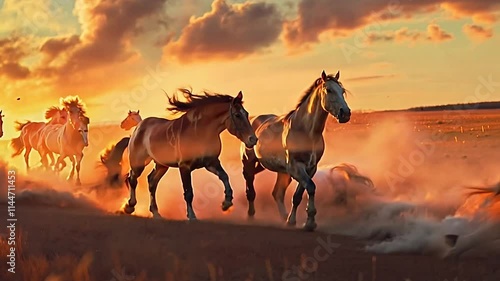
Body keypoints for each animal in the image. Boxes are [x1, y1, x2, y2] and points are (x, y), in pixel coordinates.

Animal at [101, 89, 258, 219]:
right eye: (237, 115)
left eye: (246, 113)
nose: (253, 139)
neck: (199, 131)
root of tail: (139, 128)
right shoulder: (185, 167)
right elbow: (188, 192)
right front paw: (192, 216)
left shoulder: (211, 163)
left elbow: (224, 177)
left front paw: (226, 203)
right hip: (138, 163)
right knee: (132, 179)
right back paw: (129, 206)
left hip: (161, 165)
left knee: (152, 182)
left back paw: (155, 211)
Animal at [242, 69, 352, 230]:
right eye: (329, 90)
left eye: (342, 91)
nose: (346, 113)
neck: (306, 131)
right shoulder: (296, 168)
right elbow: (311, 187)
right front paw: (309, 222)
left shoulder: (310, 169)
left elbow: (298, 195)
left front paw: (293, 221)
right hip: (249, 162)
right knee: (250, 188)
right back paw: (251, 216)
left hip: (279, 171)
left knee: (277, 193)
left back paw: (283, 217)